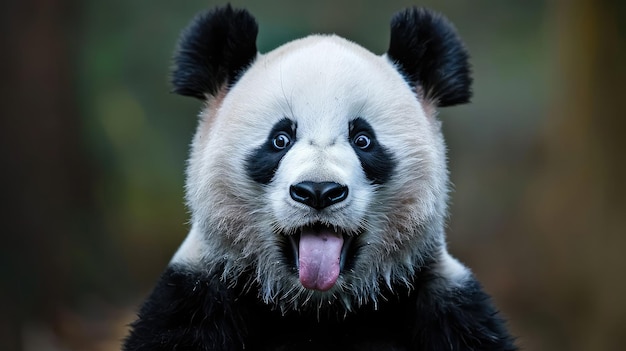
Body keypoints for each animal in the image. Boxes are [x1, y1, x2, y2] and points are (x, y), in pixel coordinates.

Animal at [123, 4, 516, 351]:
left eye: (363, 140)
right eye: (280, 139)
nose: (318, 191)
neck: (317, 307)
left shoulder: (445, 305)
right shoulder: (197, 298)